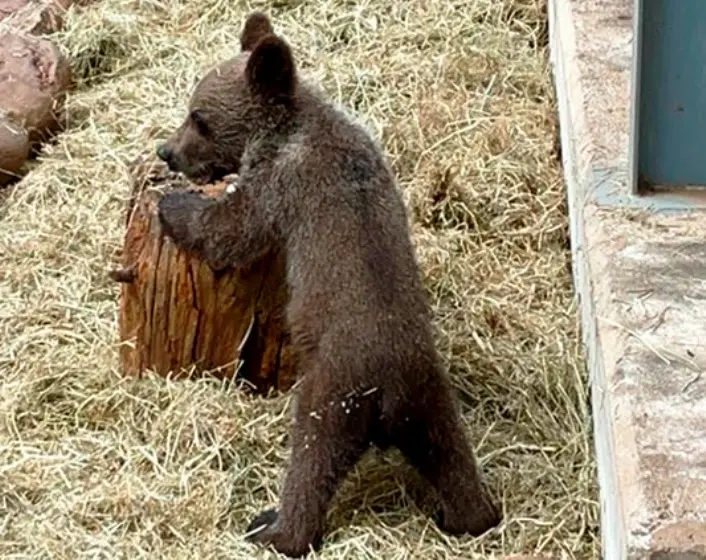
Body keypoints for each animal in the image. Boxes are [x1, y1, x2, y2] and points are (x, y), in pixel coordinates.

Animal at [157, 10, 498, 556]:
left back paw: (273, 526)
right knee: (451, 455)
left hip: (333, 391)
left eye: (199, 118)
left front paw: (173, 205)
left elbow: (233, 231)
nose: (167, 152)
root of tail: (391, 392)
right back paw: (470, 515)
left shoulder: (280, 186)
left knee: (311, 461)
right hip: (431, 397)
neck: (291, 130)